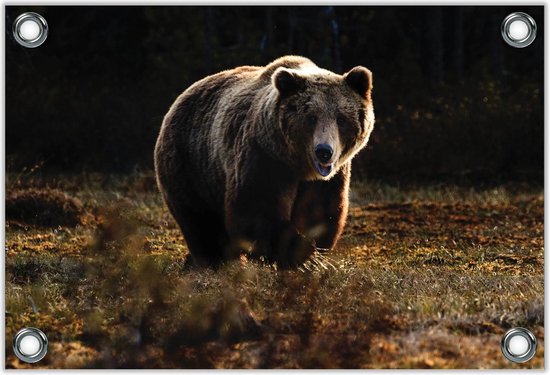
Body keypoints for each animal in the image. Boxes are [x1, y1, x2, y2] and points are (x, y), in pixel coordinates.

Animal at [157, 55, 378, 268]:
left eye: (341, 118)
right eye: (311, 117)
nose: (324, 151)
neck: (299, 166)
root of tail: (179, 98)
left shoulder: (329, 179)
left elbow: (320, 211)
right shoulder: (264, 158)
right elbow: (257, 210)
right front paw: (303, 256)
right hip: (191, 164)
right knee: (200, 220)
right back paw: (213, 261)